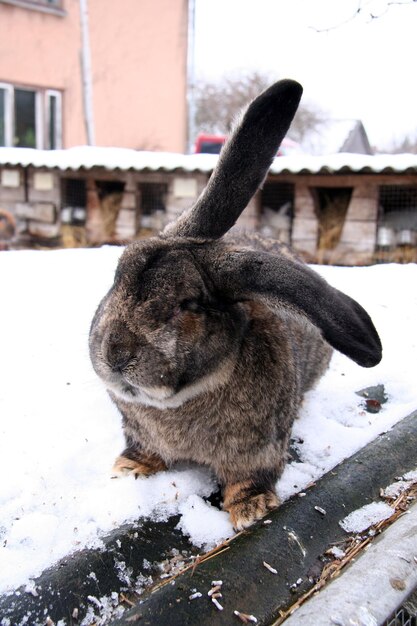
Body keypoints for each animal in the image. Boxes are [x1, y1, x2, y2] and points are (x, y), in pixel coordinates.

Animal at [89, 78, 382, 528]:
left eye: (188, 303)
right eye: (117, 276)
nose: (116, 354)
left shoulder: (258, 449)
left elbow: (250, 476)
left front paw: (250, 510)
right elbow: (144, 449)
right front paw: (129, 468)